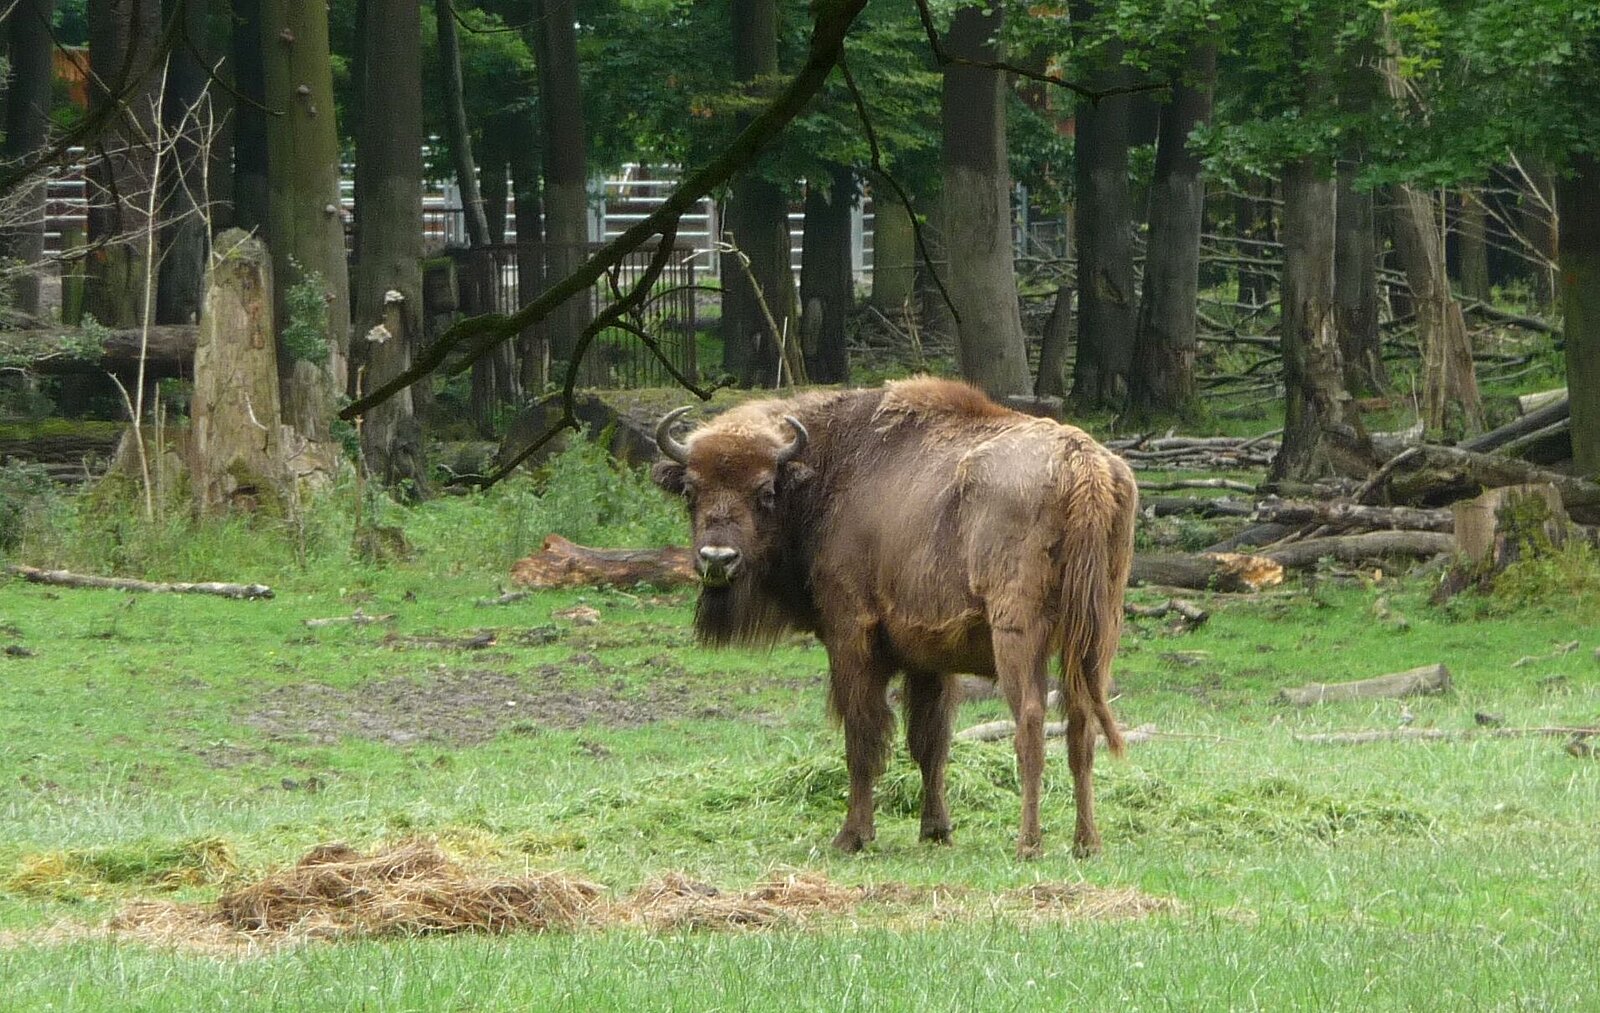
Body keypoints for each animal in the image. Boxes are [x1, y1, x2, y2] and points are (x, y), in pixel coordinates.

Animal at [652, 377, 1139, 851]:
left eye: (765, 491)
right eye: (690, 491)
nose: (718, 559)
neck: (829, 470)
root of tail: (1082, 465)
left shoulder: (851, 637)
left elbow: (862, 737)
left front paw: (852, 836)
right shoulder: (929, 658)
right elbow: (929, 742)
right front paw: (936, 830)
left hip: (1019, 634)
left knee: (1032, 722)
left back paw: (1028, 844)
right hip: (1095, 638)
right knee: (1080, 725)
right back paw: (1086, 843)